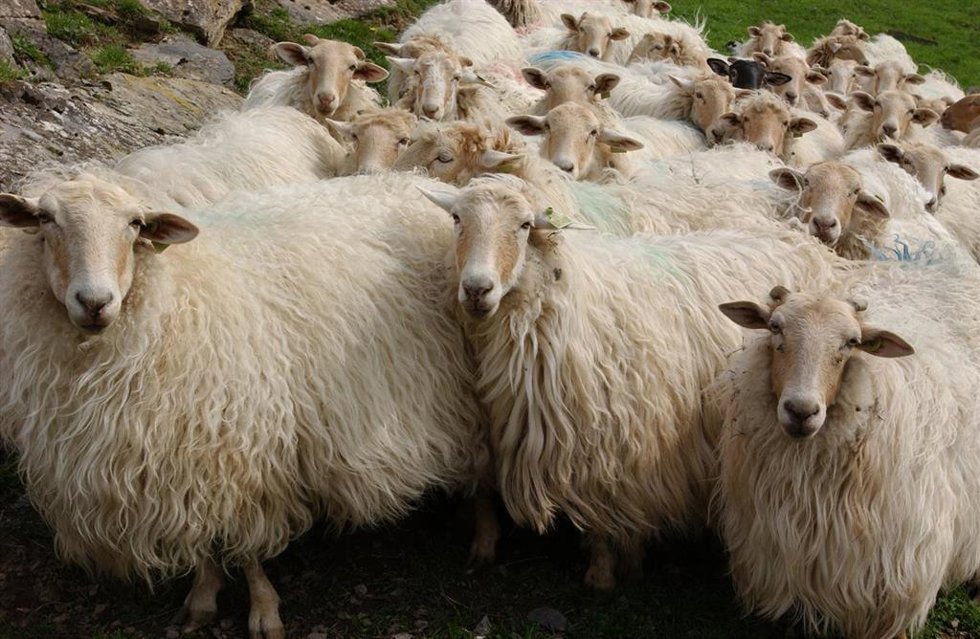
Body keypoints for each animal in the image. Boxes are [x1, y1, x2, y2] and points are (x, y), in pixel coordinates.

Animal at [0, 171, 489, 638]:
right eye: (46, 219)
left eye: (135, 224)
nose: (95, 302)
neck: (173, 298)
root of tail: (418, 181)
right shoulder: (183, 461)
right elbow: (199, 538)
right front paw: (203, 596)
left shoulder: (243, 454)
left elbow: (248, 547)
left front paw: (263, 611)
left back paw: (480, 536)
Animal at [417, 174, 844, 589]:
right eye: (456, 218)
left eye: (523, 226)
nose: (477, 289)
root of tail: (793, 234)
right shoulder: (488, 423)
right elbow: (483, 489)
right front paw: (483, 545)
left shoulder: (616, 439)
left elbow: (605, 510)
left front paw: (605, 573)